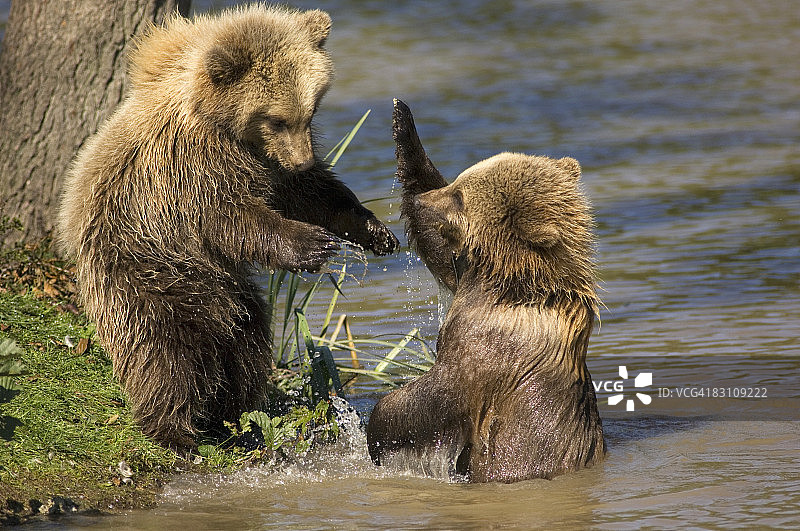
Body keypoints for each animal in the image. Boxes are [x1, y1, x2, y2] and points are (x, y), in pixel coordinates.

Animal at [57, 5, 398, 451]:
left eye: (310, 111)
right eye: (275, 118)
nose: (302, 160)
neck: (225, 127)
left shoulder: (267, 162)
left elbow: (310, 194)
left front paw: (373, 229)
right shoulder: (188, 169)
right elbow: (228, 217)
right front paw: (312, 244)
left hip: (225, 289)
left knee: (246, 337)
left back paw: (233, 415)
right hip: (147, 268)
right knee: (162, 350)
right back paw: (174, 430)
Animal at [365, 100, 604, 482]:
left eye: (459, 196)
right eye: (457, 181)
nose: (423, 201)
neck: (507, 284)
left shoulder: (486, 355)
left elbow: (437, 397)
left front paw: (377, 431)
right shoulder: (467, 272)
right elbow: (442, 259)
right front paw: (402, 118)